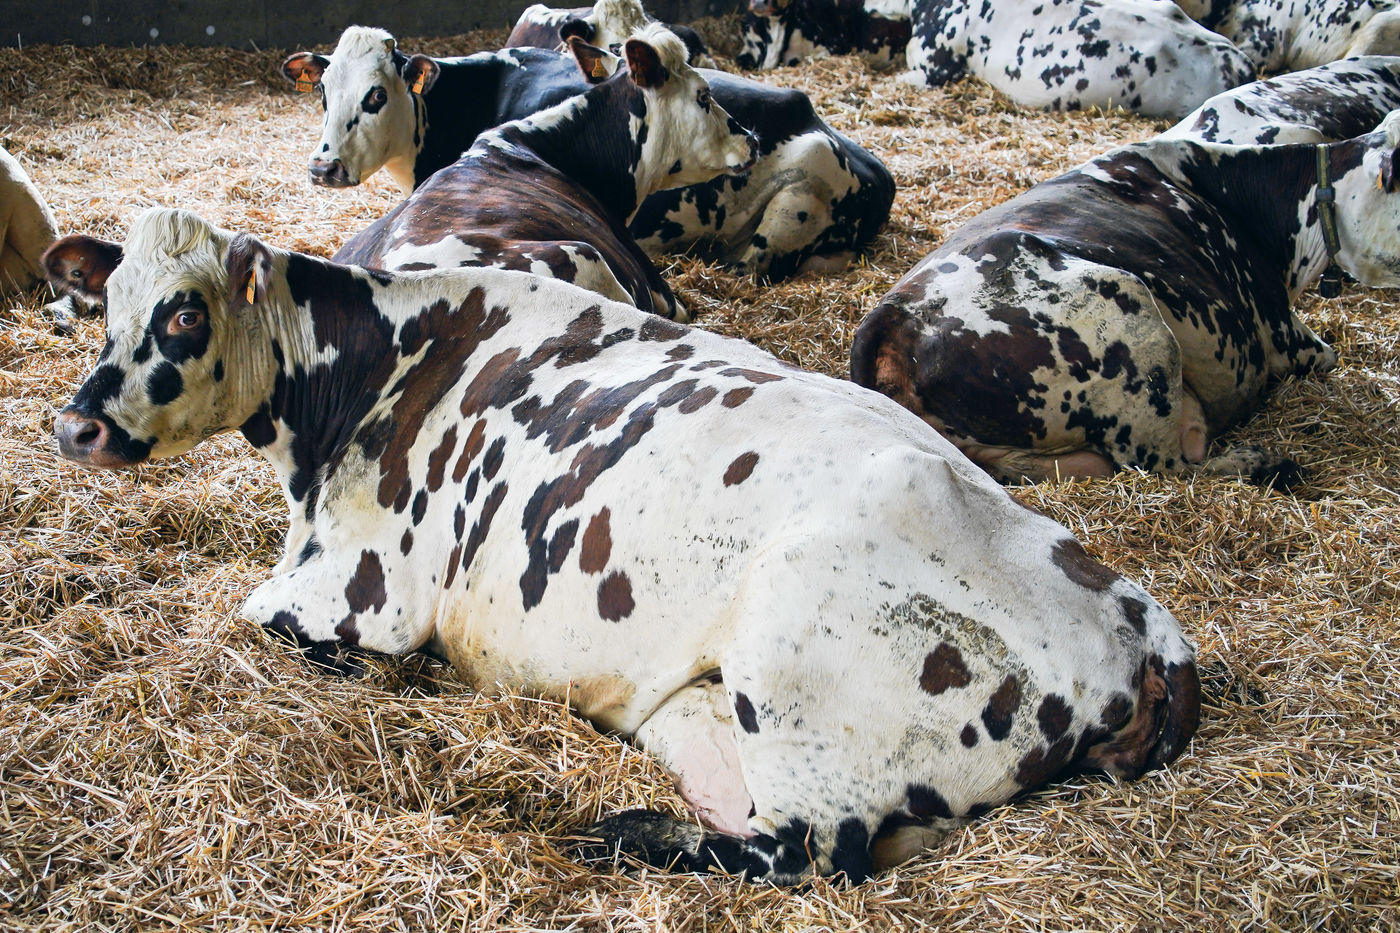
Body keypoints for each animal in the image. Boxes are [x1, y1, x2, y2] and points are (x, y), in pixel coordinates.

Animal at [46, 205, 1200, 884]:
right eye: (104, 306)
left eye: (185, 315)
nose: (76, 425)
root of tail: (1136, 612)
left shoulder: (362, 595)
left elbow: (248, 618)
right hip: (695, 712)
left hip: (797, 647)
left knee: (810, 851)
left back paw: (613, 833)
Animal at [848, 114, 1400, 487]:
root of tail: (892, 317)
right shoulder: (1286, 336)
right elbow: (1329, 356)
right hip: (1135, 327)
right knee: (1169, 469)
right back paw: (1266, 463)